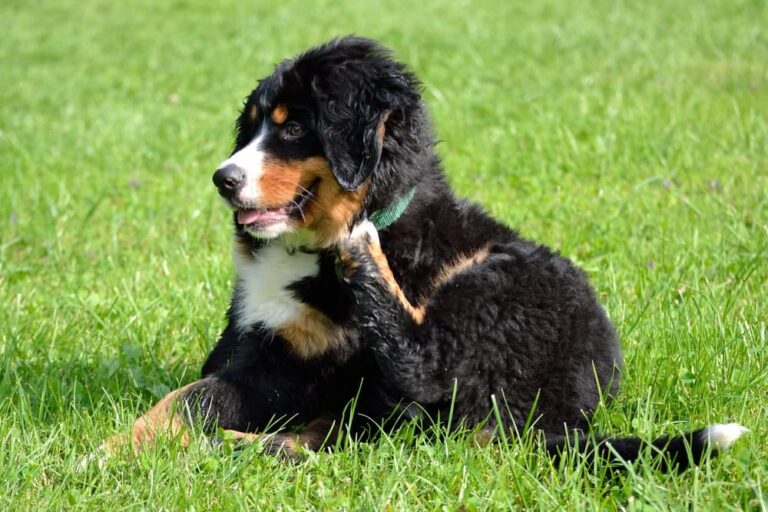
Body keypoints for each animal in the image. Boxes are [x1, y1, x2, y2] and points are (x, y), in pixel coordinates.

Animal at [103, 34, 744, 470]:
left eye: (292, 129)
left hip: (498, 288)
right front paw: (109, 452)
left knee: (418, 378)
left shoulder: (339, 365)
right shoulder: (267, 350)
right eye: (254, 126)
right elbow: (187, 399)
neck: (306, 248)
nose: (223, 179)